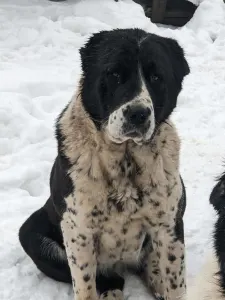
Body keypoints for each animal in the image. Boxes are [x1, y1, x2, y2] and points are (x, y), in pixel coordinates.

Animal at [18, 28, 190, 300]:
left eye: (156, 77)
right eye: (114, 74)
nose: (138, 114)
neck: (125, 163)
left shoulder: (170, 226)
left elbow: (175, 285)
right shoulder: (78, 230)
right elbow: (86, 285)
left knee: (150, 266)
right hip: (30, 233)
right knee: (109, 277)